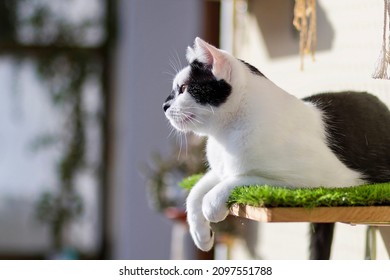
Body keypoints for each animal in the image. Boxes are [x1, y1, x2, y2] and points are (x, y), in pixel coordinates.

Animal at [161, 37, 390, 258]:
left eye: (183, 88)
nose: (164, 106)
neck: (224, 137)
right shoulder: (221, 171)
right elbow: (196, 191)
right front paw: (201, 236)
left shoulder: (322, 181)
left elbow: (242, 180)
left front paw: (212, 205)